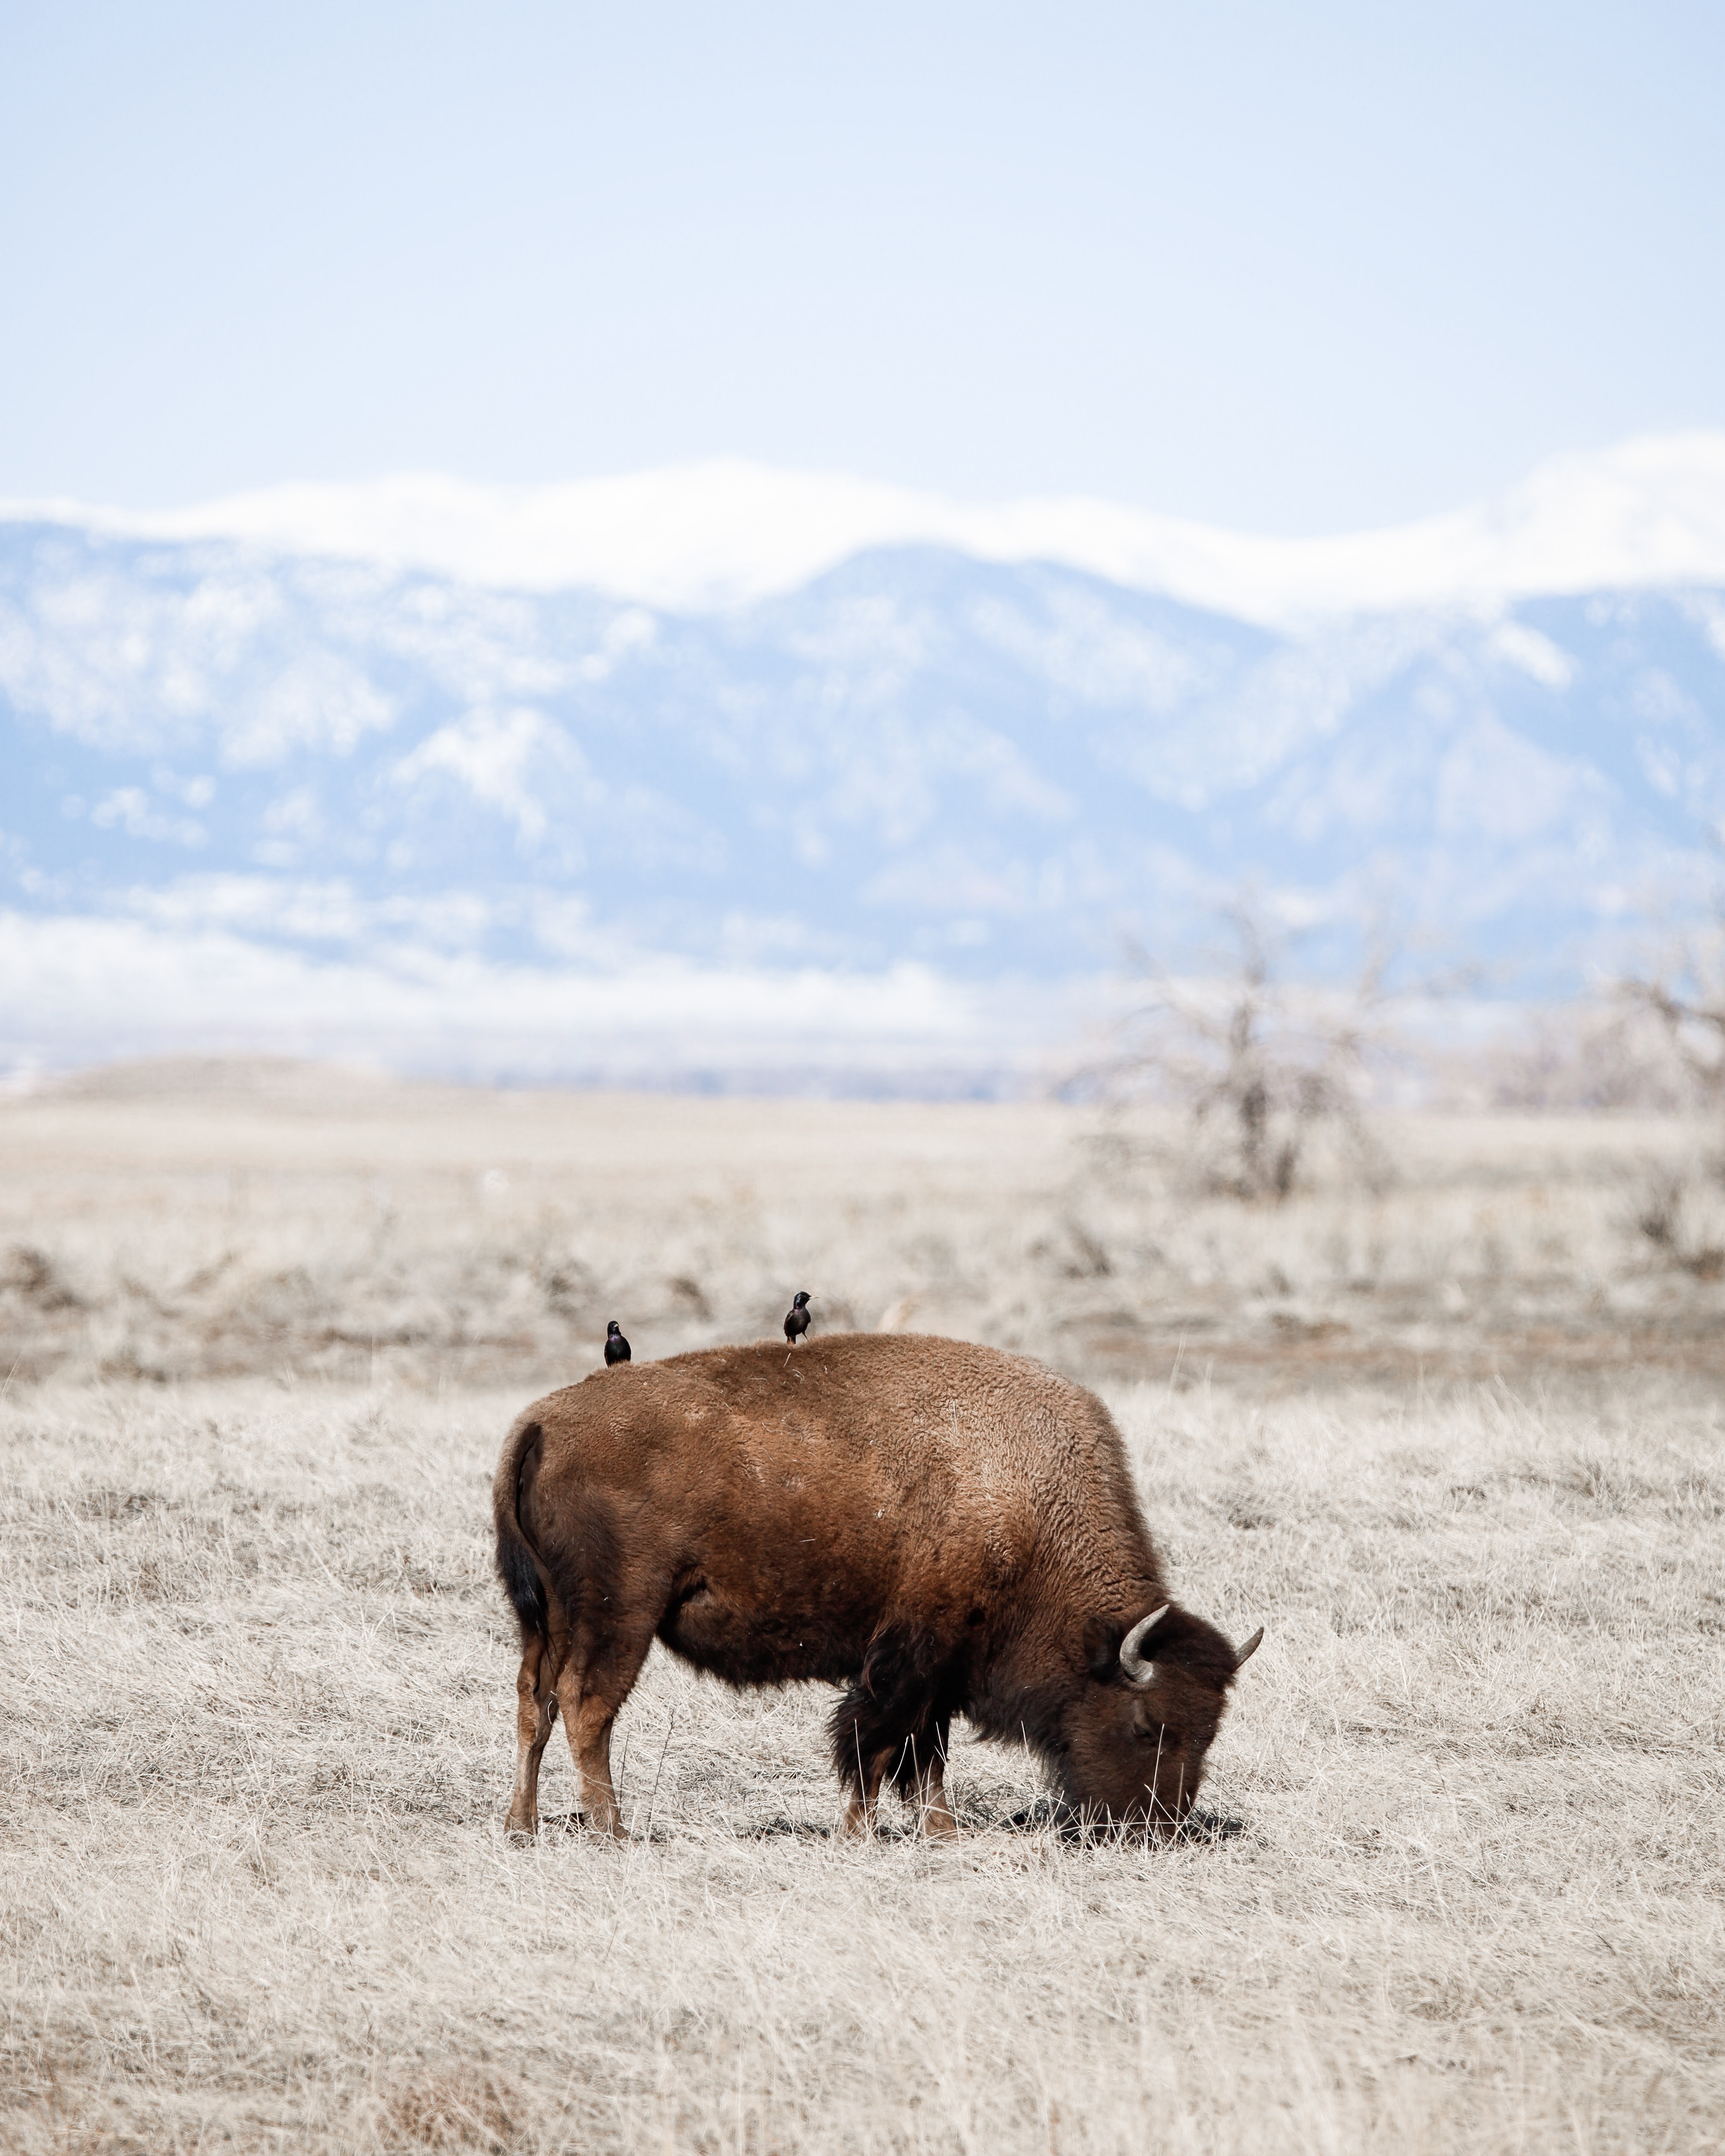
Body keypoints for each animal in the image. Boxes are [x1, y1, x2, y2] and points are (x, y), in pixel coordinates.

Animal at [491, 1328, 1259, 1837]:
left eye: (1210, 1731)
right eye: (1145, 1725)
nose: (1157, 1828)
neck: (1024, 1501)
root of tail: (542, 1424)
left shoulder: (943, 1668)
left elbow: (925, 1758)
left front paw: (941, 1833)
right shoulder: (911, 1657)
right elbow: (879, 1743)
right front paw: (860, 1832)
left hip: (545, 1617)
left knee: (535, 1703)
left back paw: (522, 1826)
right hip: (621, 1612)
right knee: (587, 1707)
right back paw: (614, 1832)